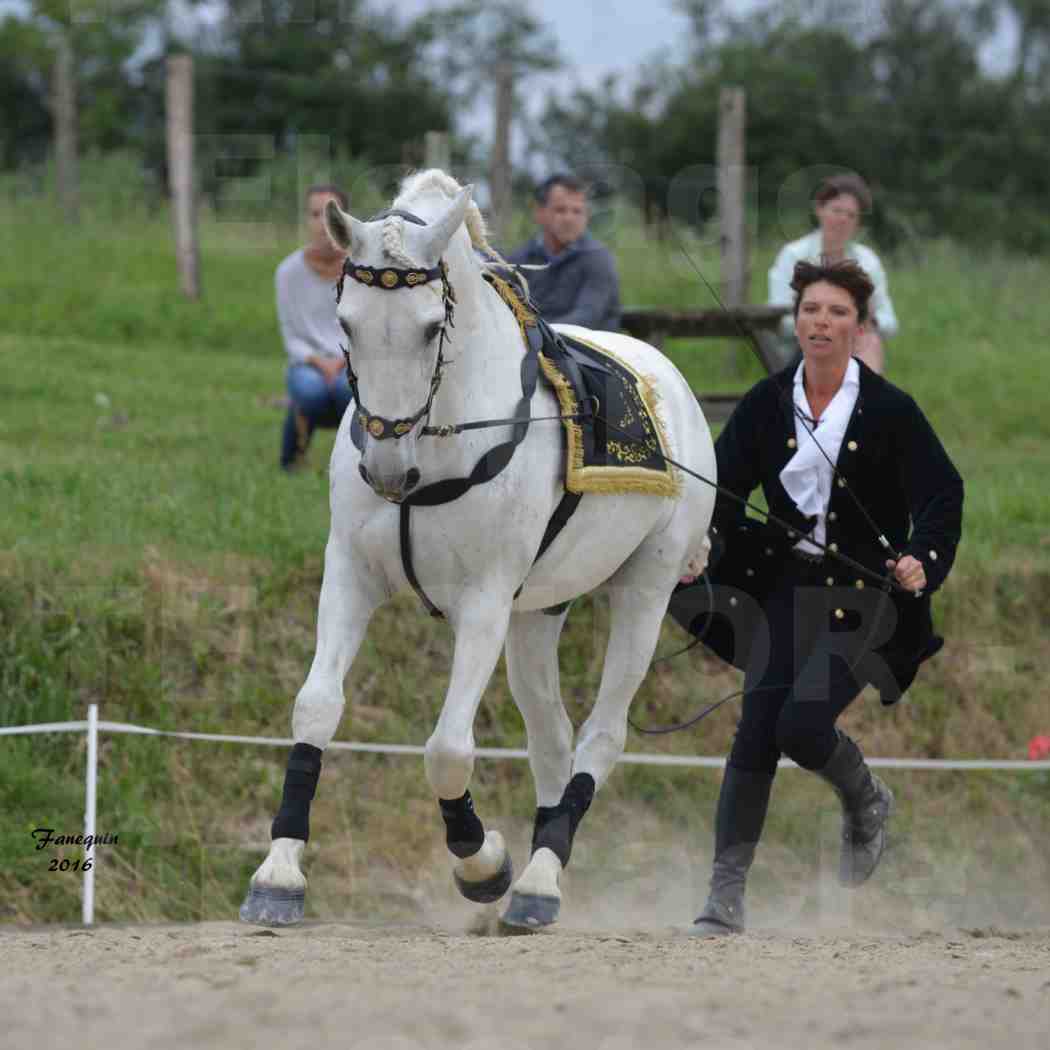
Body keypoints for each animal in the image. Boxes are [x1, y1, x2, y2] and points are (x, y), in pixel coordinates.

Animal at [239, 170, 718, 928]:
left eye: (432, 327)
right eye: (345, 323)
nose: (386, 471)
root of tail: (668, 379)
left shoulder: (485, 601)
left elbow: (447, 747)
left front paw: (481, 861)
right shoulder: (349, 575)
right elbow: (315, 706)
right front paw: (278, 873)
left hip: (645, 589)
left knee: (600, 736)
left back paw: (538, 881)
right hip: (537, 614)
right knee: (551, 737)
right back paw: (542, 867)